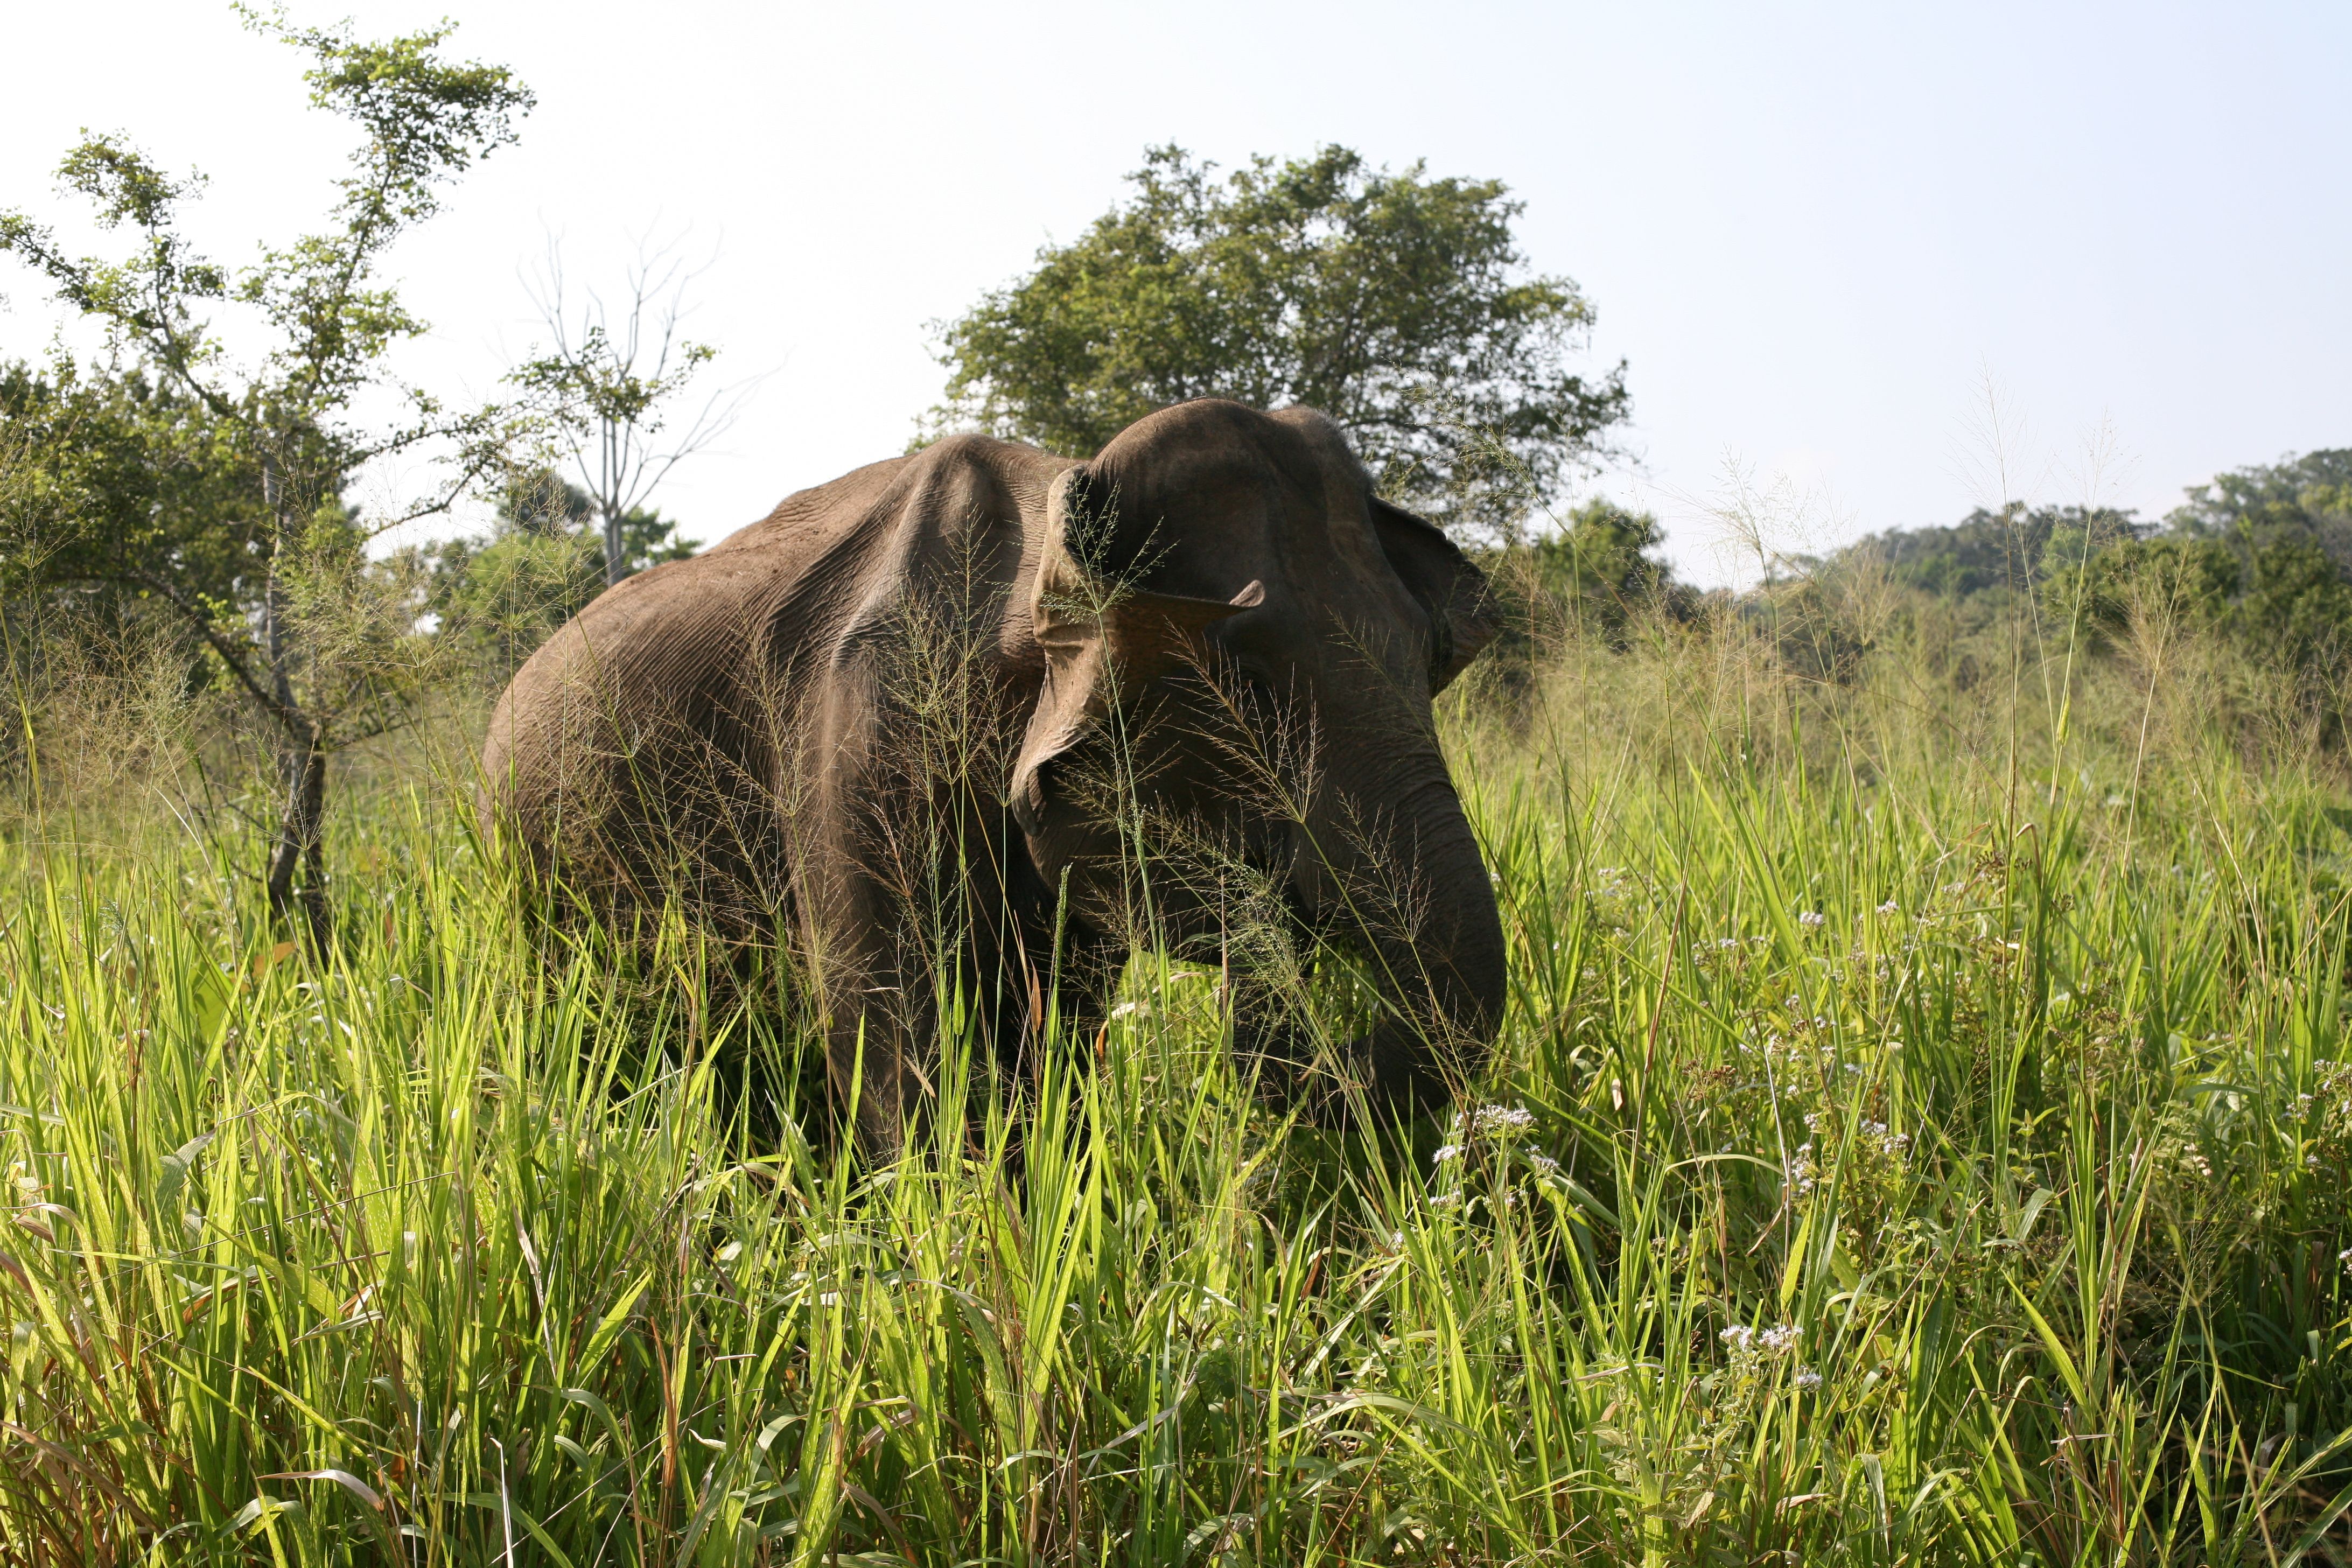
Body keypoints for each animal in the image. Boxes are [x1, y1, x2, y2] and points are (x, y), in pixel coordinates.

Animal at [480, 395, 1505, 1152]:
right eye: (1242, 685)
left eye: (1428, 656)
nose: (1248, 999)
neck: (1054, 507)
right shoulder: (864, 731)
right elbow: (893, 1037)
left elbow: (1054, 1027)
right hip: (531, 878)